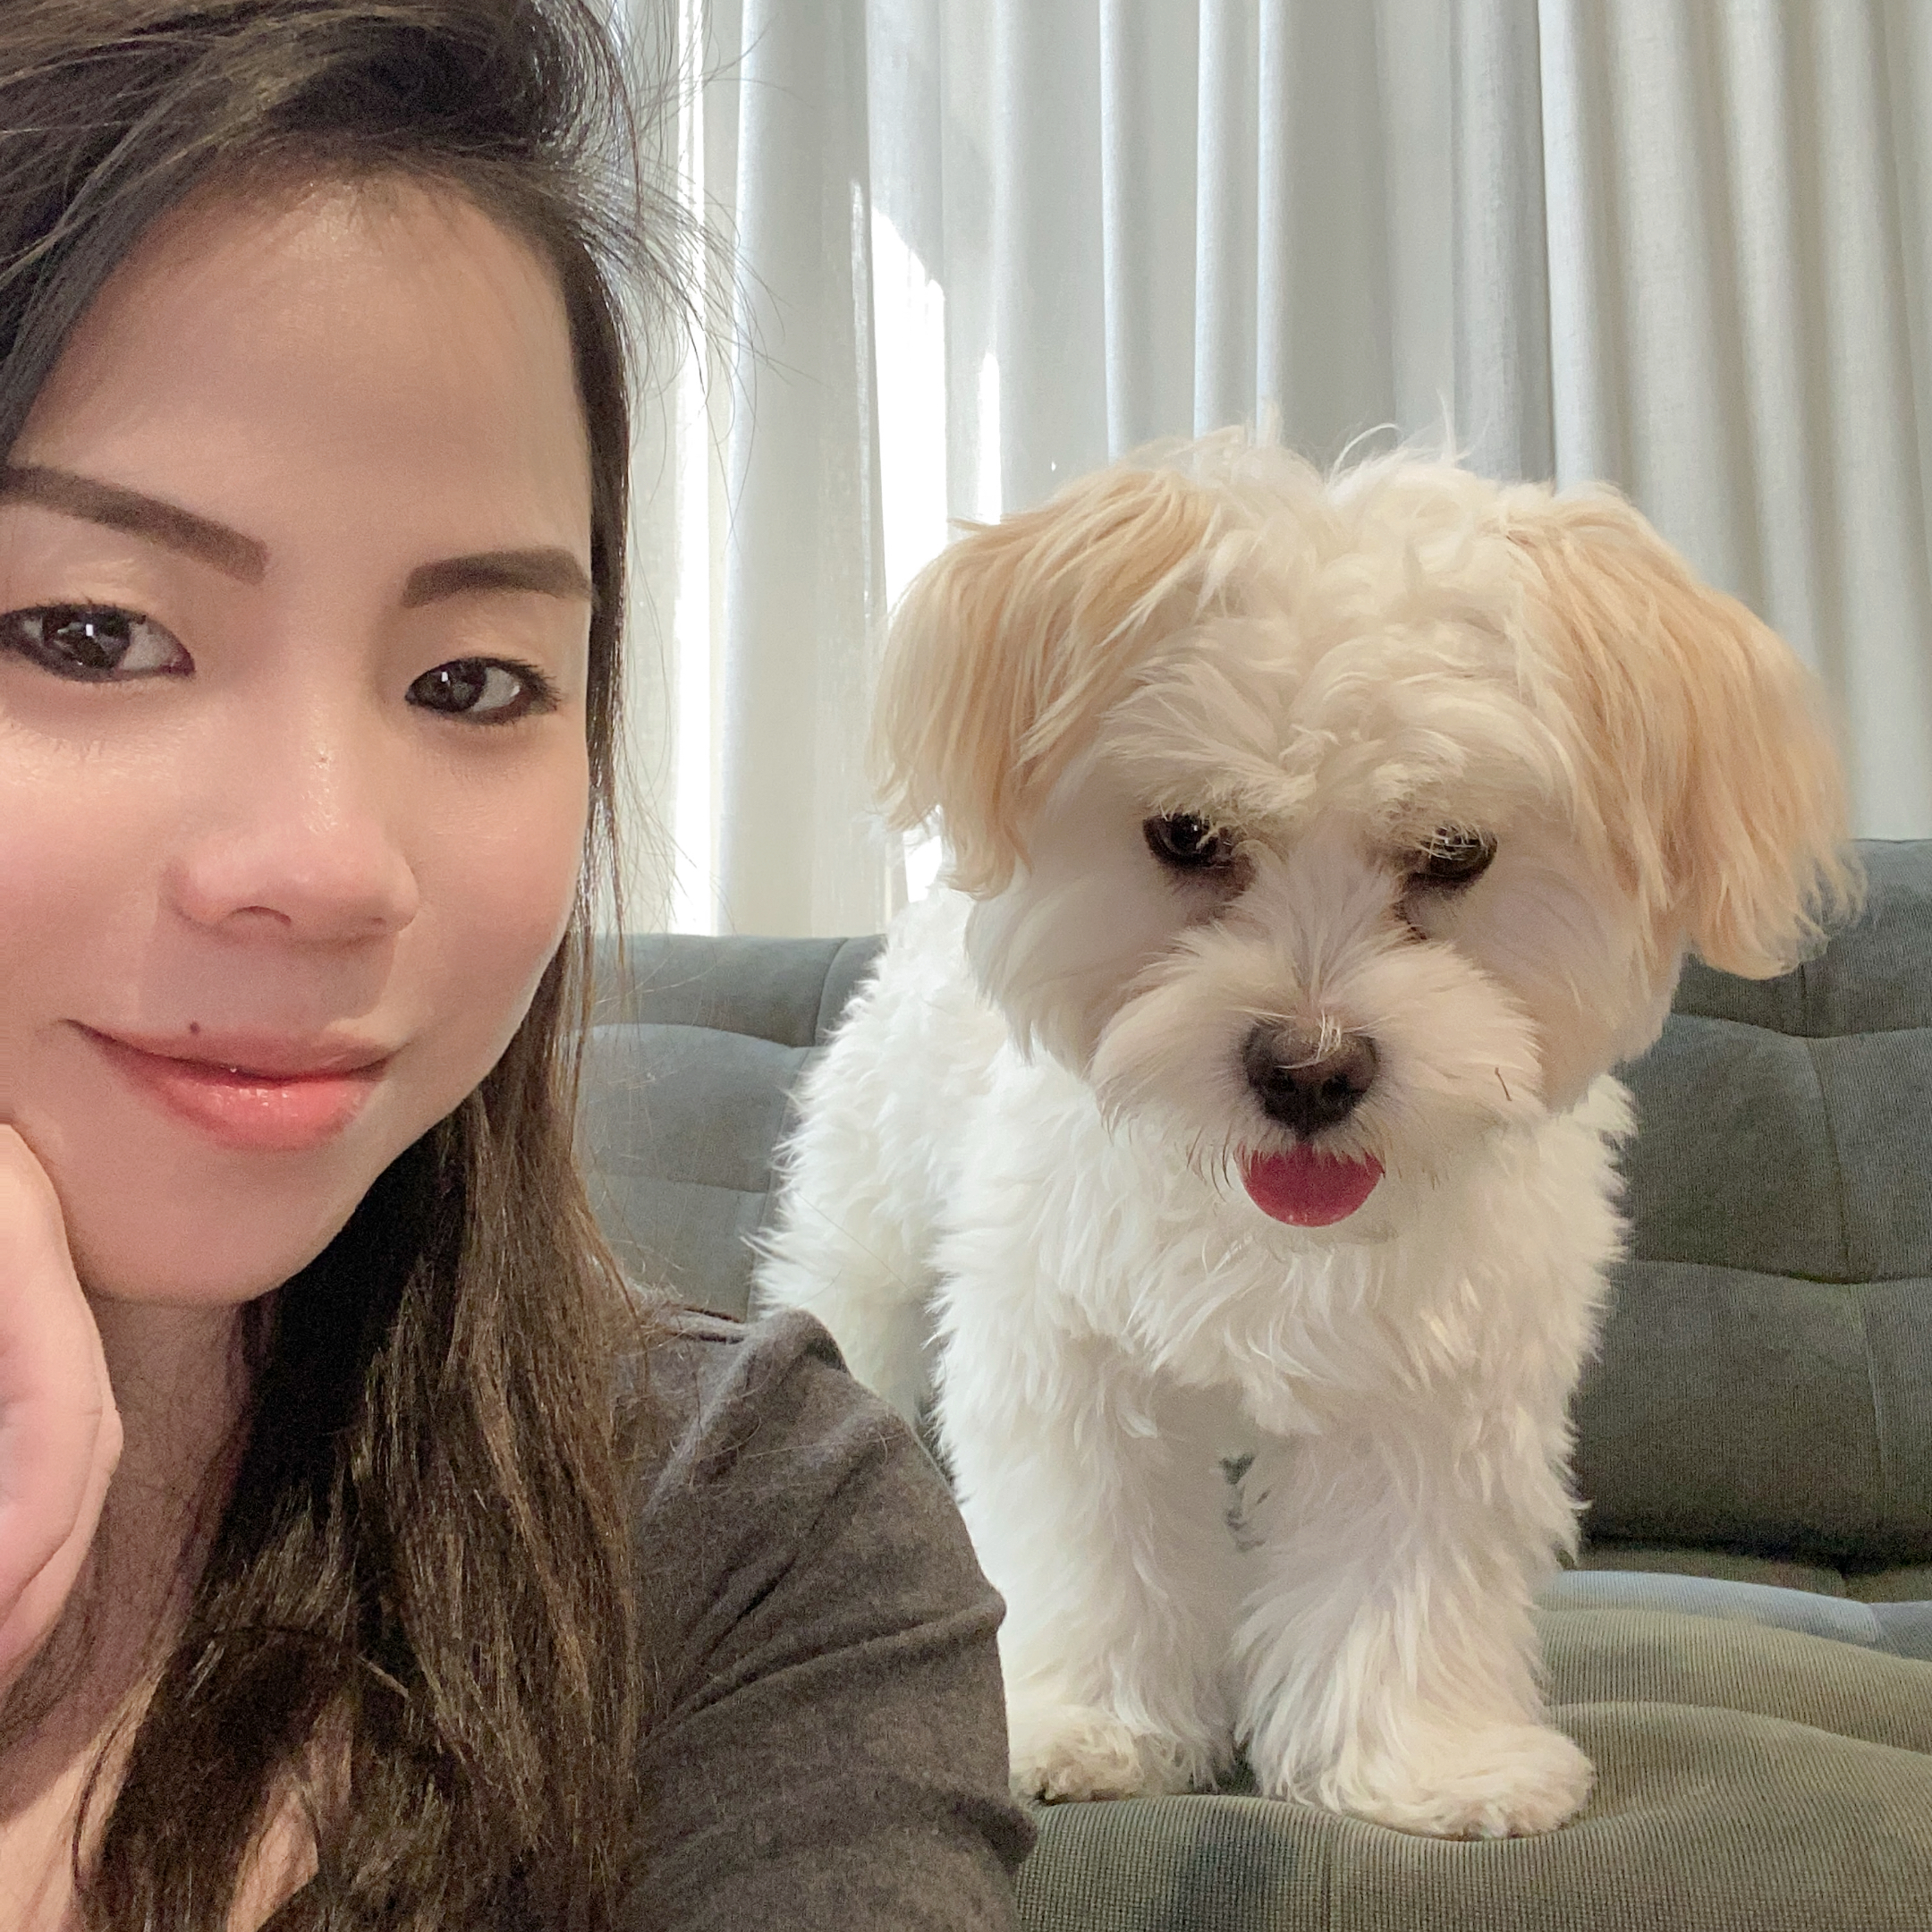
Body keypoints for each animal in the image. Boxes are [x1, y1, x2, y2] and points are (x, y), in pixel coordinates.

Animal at [753, 430, 1861, 1838]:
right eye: (1187, 833)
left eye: (1456, 849)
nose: (1310, 1070)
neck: (1266, 1209)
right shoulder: (1068, 1340)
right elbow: (1091, 1534)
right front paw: (1081, 1721)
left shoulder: (1437, 1380)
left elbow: (1400, 1560)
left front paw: (1424, 1762)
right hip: (872, 1234)